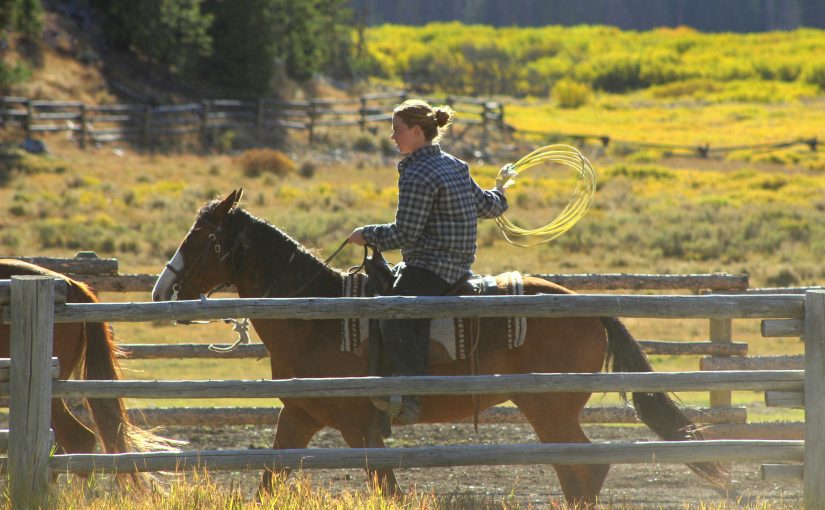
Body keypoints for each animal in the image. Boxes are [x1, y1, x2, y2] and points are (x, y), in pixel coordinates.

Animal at [151, 189, 724, 504]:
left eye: (199, 238)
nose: (161, 289)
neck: (319, 319)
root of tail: (587, 306)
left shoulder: (360, 426)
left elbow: (386, 487)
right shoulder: (300, 416)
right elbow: (270, 481)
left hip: (550, 409)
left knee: (585, 469)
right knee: (579, 471)